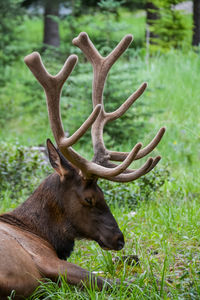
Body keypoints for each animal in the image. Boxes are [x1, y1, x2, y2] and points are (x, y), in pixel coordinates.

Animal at [0, 31, 165, 298]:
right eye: (89, 199)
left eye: (103, 193)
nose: (119, 239)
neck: (39, 231)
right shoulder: (46, 258)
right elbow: (109, 281)